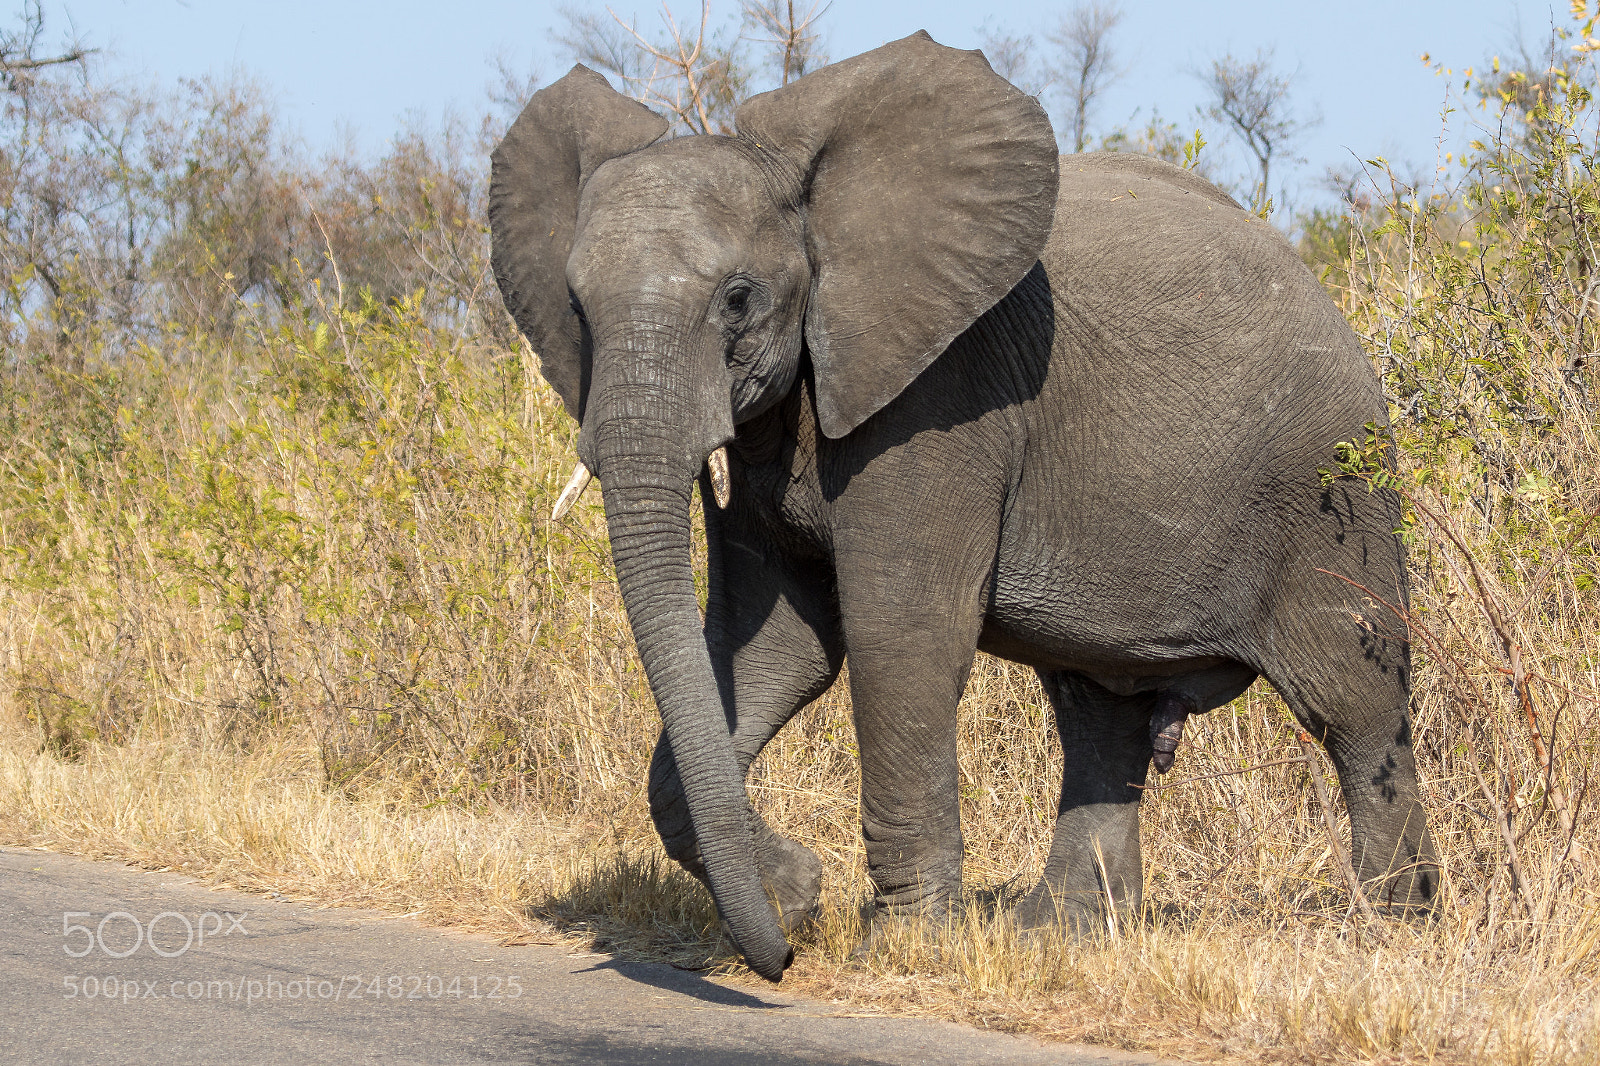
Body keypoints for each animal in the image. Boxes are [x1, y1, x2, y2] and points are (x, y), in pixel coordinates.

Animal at [489, 31, 1439, 982]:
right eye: (574, 307)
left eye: (737, 299)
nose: (783, 960)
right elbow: (775, 647)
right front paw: (797, 896)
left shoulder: (941, 401)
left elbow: (899, 640)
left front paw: (905, 945)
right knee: (1102, 713)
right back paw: (1059, 938)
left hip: (1333, 495)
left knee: (1355, 712)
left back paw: (1393, 935)